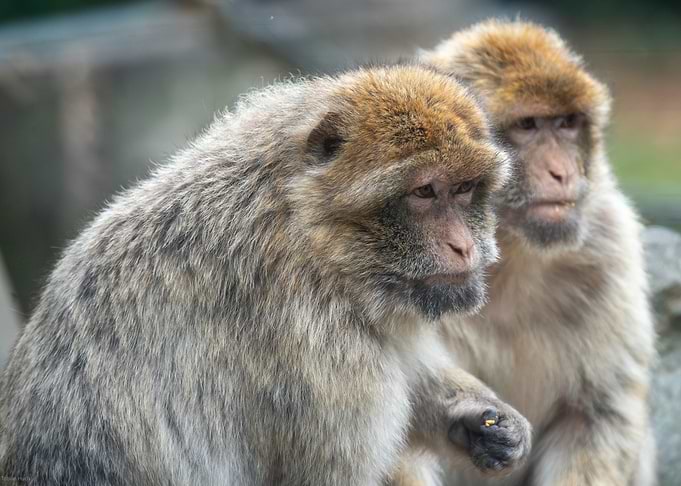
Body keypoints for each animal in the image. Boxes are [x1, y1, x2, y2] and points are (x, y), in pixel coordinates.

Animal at [0, 65, 532, 485]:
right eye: (424, 192)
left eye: (464, 189)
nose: (463, 246)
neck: (312, 237)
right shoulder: (322, 353)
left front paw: (476, 419)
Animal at [407, 19, 657, 486]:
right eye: (527, 125)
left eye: (566, 123)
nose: (562, 172)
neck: (510, 252)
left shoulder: (610, 245)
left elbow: (597, 414)